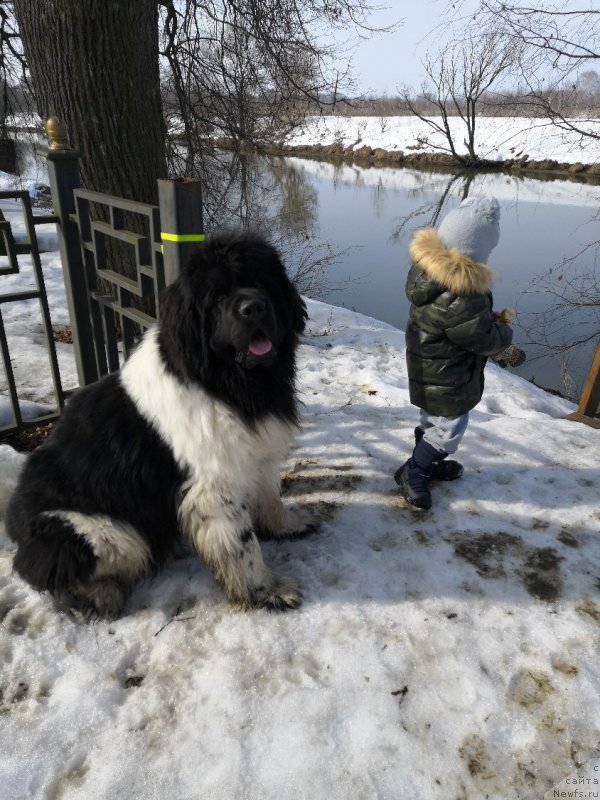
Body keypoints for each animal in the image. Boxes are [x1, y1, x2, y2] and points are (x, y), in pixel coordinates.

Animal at [7, 231, 316, 620]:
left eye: (261, 282)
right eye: (217, 297)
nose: (254, 307)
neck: (224, 380)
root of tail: (15, 528)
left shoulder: (253, 454)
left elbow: (269, 494)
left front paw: (287, 524)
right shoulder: (213, 486)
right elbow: (243, 545)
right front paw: (267, 590)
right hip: (101, 531)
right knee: (58, 571)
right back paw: (101, 592)